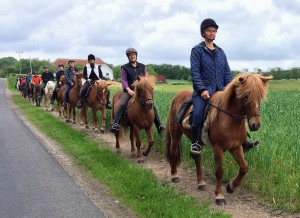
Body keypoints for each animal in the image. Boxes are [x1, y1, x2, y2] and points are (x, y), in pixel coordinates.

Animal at [164, 74, 272, 205]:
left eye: (260, 96)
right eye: (246, 96)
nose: (255, 125)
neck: (230, 120)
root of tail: (178, 95)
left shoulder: (236, 147)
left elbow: (244, 167)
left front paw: (231, 187)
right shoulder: (218, 148)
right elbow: (219, 172)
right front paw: (219, 196)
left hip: (198, 142)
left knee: (197, 158)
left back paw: (201, 183)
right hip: (175, 134)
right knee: (173, 152)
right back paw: (174, 176)